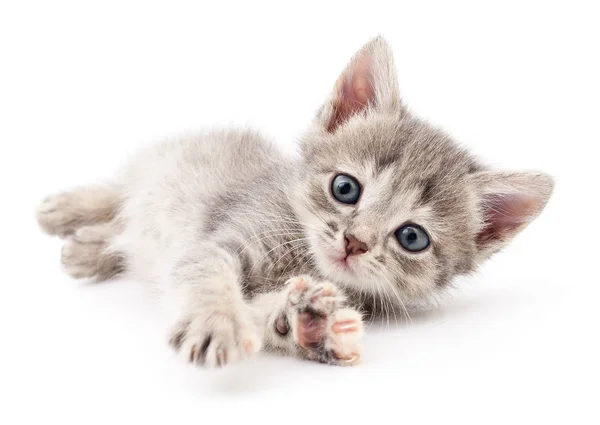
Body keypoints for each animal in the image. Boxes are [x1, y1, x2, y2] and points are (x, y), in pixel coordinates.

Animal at [36, 38, 552, 366]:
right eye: (345, 188)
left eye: (412, 237)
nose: (355, 242)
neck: (302, 256)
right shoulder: (219, 239)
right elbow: (205, 272)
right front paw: (216, 320)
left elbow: (266, 315)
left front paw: (307, 324)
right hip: (161, 164)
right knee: (122, 189)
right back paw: (68, 212)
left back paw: (88, 248)